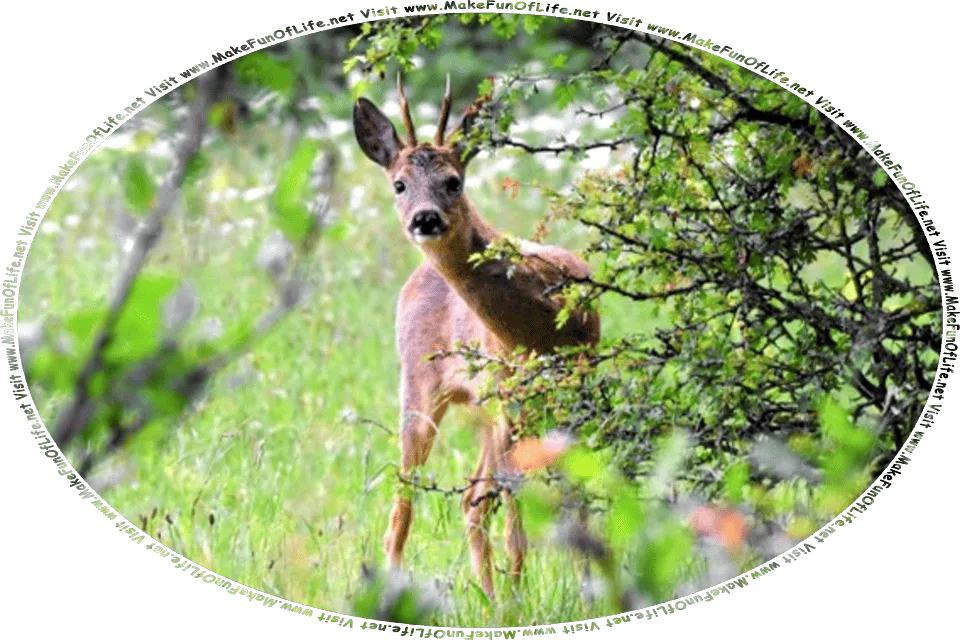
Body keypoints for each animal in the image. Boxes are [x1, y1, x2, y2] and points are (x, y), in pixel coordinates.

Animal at [353, 74, 601, 600]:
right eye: (399, 184)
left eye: (454, 180)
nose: (425, 218)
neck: (542, 324)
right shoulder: (511, 398)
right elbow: (513, 510)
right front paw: (519, 601)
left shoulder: (574, 390)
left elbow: (574, 496)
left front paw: (588, 588)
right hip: (421, 387)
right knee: (408, 503)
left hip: (489, 409)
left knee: (473, 498)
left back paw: (491, 597)